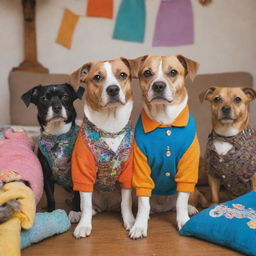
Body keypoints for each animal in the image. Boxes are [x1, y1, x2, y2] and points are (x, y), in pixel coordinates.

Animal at [21, 83, 84, 221]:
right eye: (43, 99)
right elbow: (50, 197)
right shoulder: (47, 176)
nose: (56, 107)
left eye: (65, 96)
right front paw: (51, 214)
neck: (57, 136)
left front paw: (75, 212)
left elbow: (78, 195)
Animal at [69, 57, 135, 238]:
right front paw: (84, 225)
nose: (113, 89)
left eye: (122, 75)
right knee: (83, 202)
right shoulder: (83, 172)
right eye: (97, 77)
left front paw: (130, 221)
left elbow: (126, 203)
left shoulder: (128, 172)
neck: (110, 128)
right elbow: (85, 203)